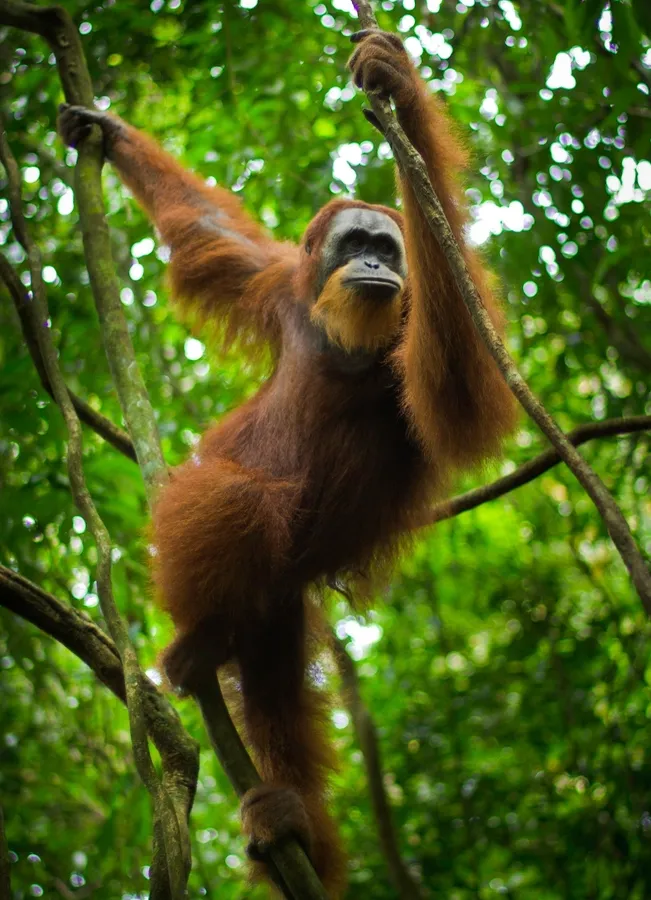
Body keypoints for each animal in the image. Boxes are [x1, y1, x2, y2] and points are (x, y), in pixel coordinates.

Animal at [59, 28, 517, 897]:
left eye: (388, 247)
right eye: (355, 245)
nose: (377, 268)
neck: (344, 344)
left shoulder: (415, 336)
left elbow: (458, 388)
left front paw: (401, 96)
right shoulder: (277, 284)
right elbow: (213, 234)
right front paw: (106, 130)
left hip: (279, 598)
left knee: (255, 575)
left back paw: (281, 806)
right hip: (267, 602)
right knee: (246, 544)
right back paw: (217, 671)